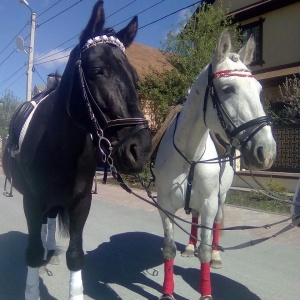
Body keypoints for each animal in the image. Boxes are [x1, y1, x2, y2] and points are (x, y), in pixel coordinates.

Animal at [1, 1, 152, 298]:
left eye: (135, 78)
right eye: (97, 70)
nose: (140, 149)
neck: (60, 149)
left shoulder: (81, 204)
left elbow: (75, 256)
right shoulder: (31, 202)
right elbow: (32, 253)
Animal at [155, 31, 276, 300]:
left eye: (259, 89)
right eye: (228, 88)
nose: (266, 151)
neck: (189, 153)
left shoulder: (210, 203)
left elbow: (206, 251)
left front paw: (206, 292)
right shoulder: (165, 206)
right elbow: (168, 248)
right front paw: (167, 292)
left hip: (220, 198)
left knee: (218, 222)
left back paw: (217, 255)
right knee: (194, 219)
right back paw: (189, 247)